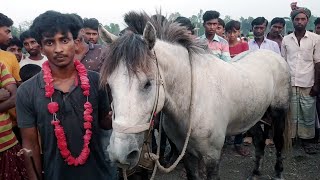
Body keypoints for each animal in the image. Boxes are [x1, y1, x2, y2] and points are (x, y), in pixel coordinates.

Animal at [99, 13, 292, 180]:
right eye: (109, 85)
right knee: (259, 142)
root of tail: (274, 55)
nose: (119, 154)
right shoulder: (186, 153)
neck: (192, 101)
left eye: (147, 84)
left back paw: (278, 172)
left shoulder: (212, 155)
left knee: (278, 141)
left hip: (278, 113)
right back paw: (255, 172)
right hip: (253, 116)